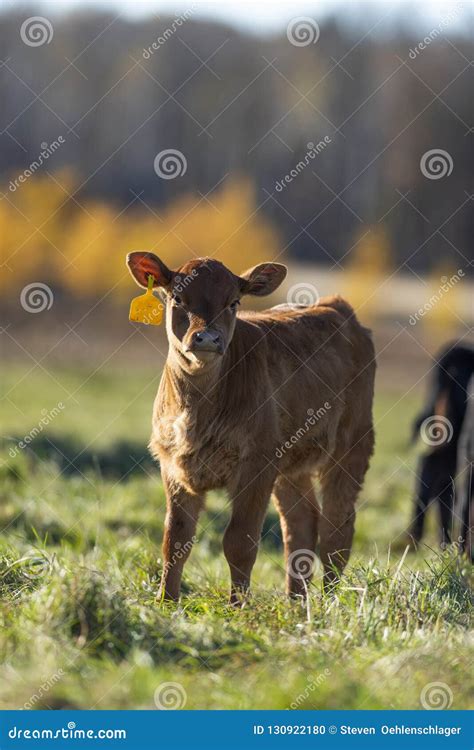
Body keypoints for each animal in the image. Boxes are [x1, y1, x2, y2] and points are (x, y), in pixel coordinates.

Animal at [127, 253, 378, 604]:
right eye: (178, 298)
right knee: (301, 524)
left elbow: (239, 542)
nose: (207, 338)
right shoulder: (172, 465)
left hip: (352, 445)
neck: (196, 410)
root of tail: (336, 306)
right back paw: (296, 604)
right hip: (291, 463)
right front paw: (166, 602)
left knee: (336, 528)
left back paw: (329, 603)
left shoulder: (256, 464)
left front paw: (238, 607)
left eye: (233, 302)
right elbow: (174, 539)